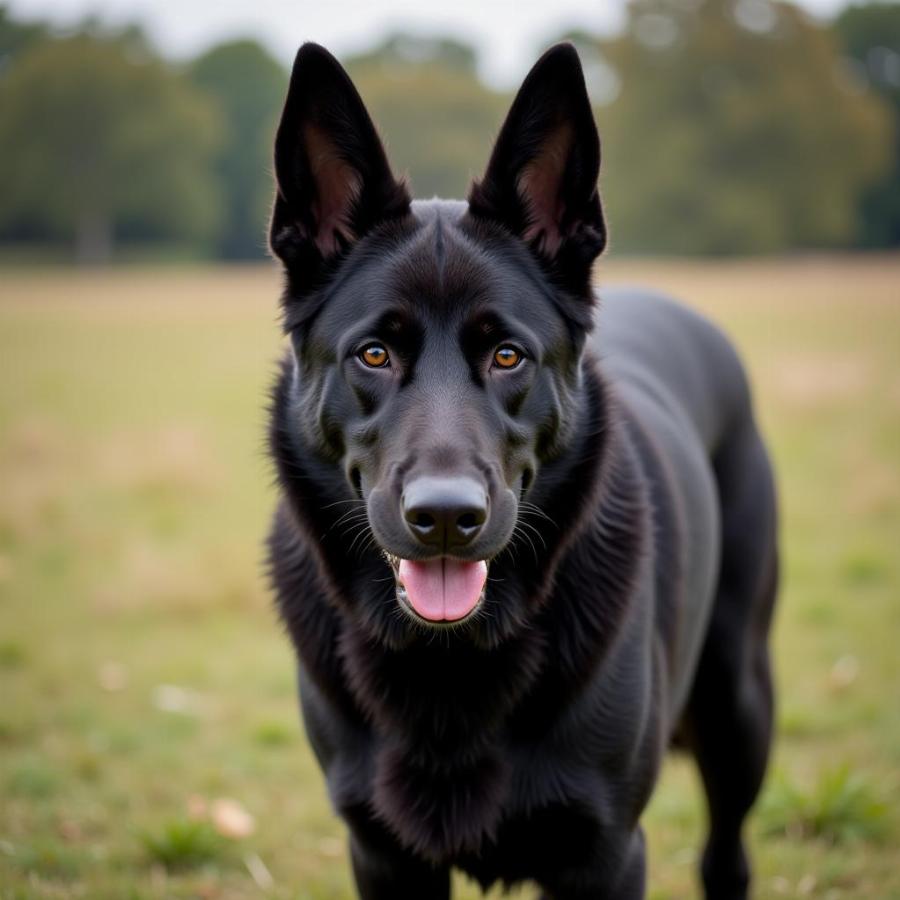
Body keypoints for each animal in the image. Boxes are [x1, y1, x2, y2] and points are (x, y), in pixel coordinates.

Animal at [264, 38, 776, 896]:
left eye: (508, 356)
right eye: (374, 354)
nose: (444, 519)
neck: (449, 665)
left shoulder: (605, 853)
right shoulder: (381, 853)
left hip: (739, 706)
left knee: (727, 854)